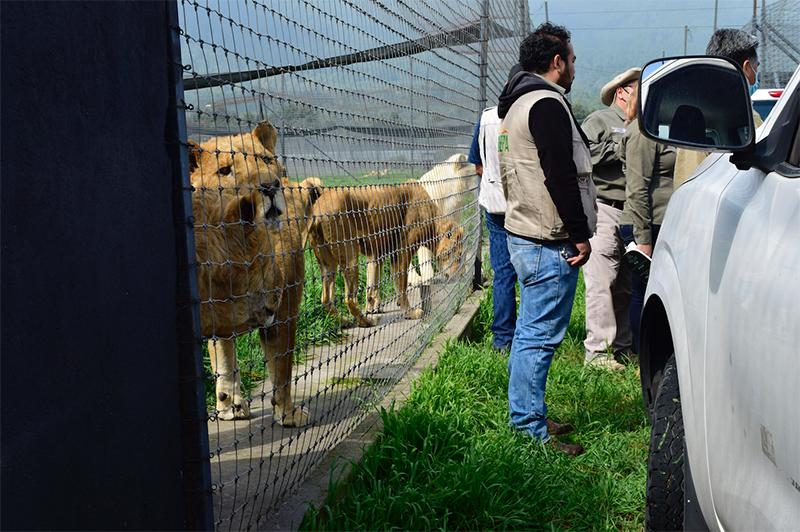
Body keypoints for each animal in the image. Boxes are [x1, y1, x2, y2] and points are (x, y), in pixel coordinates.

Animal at [189, 120, 320, 424]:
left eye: (265, 159)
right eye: (225, 170)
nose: (270, 186)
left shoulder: (283, 306)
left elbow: (279, 365)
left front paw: (283, 411)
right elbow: (231, 362)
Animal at [310, 181, 466, 326]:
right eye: (459, 256)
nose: (462, 275)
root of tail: (317, 209)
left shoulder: (376, 255)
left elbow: (373, 285)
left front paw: (374, 307)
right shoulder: (401, 253)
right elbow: (401, 286)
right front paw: (409, 313)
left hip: (327, 261)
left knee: (326, 299)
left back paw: (343, 321)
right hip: (350, 255)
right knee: (349, 298)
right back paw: (366, 322)